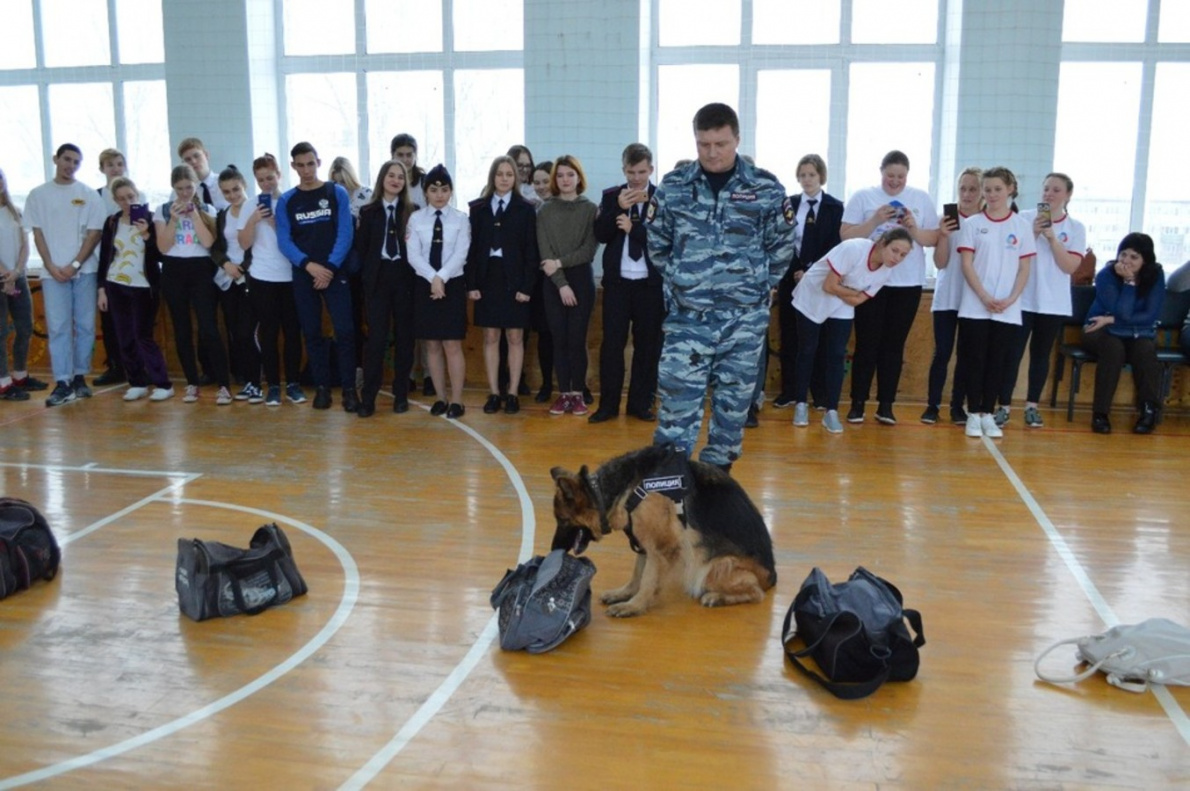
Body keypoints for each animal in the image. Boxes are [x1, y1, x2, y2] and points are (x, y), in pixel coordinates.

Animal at [545, 444, 771, 618]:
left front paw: (634, 606)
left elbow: (648, 580)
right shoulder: (644, 544)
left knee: (756, 593)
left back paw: (718, 597)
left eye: (562, 520)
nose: (553, 549)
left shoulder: (661, 548)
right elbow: (638, 573)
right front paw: (624, 594)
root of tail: (771, 577)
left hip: (710, 569)